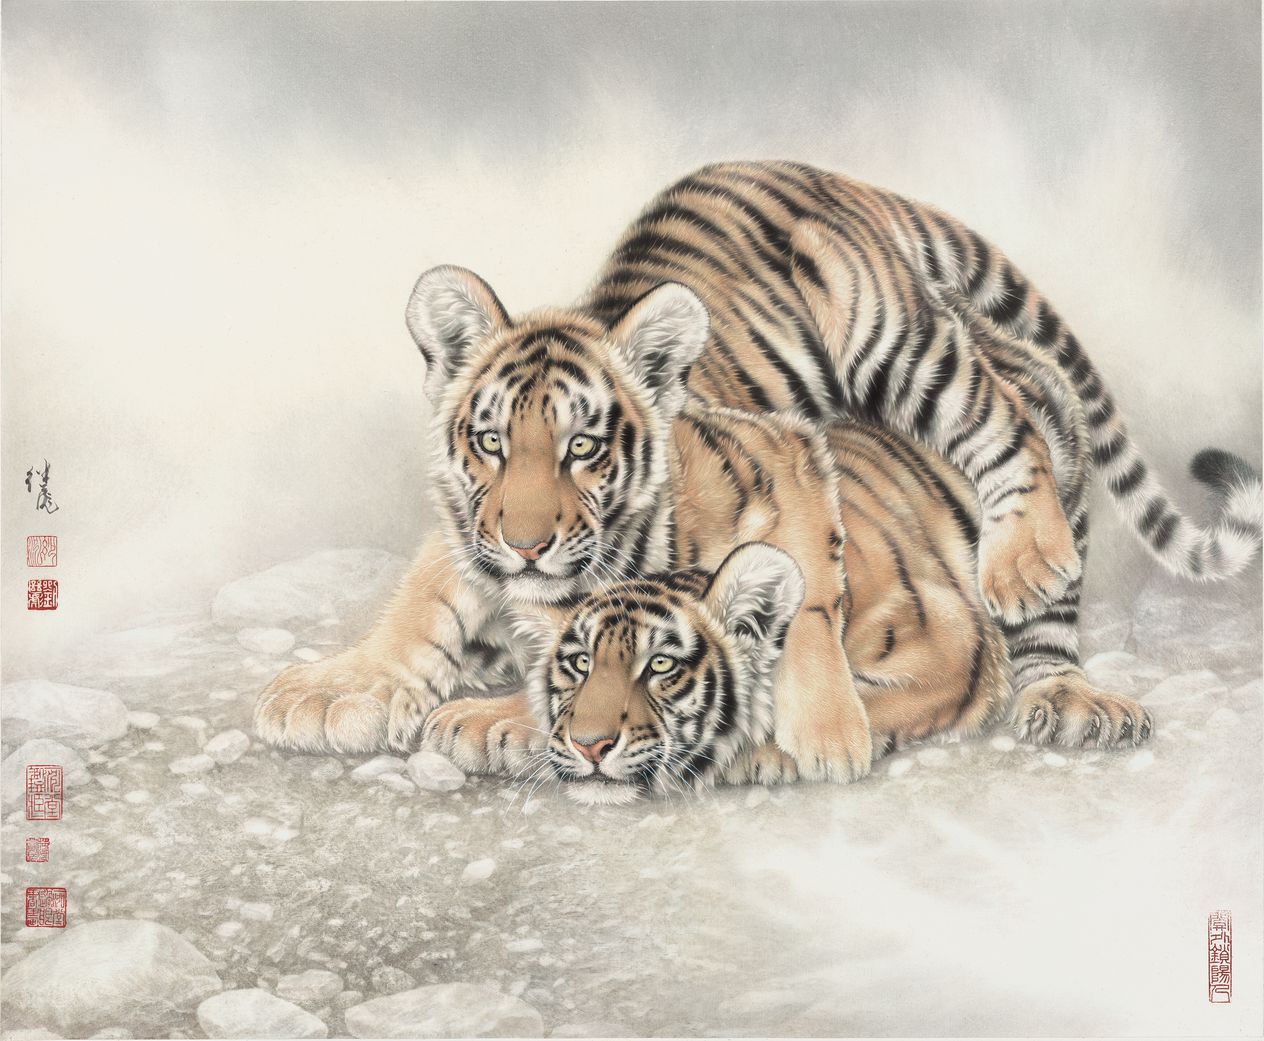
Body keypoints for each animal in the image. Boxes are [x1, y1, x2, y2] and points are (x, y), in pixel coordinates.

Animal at [255, 160, 1260, 772]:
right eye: (491, 441)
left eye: (583, 446)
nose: (528, 544)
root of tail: (834, 178)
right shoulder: (473, 537)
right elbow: (427, 595)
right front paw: (337, 692)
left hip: (898, 343)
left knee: (1004, 430)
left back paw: (1043, 615)